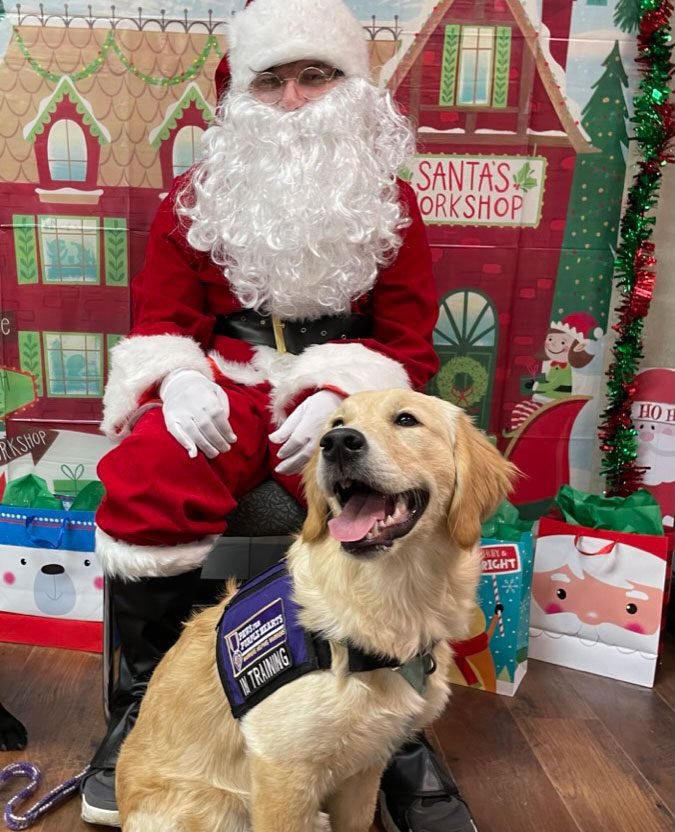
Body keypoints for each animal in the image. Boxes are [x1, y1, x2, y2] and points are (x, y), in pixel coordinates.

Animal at [116, 389, 516, 832]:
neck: (390, 595)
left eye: (406, 420)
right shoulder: (281, 769)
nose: (338, 442)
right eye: (336, 423)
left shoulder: (366, 767)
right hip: (217, 807)